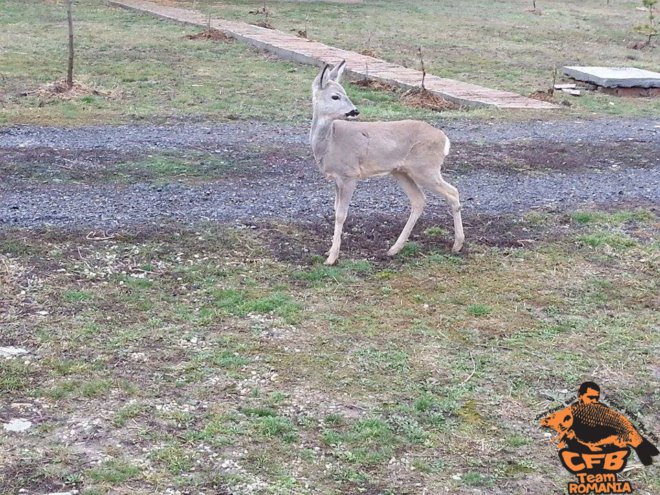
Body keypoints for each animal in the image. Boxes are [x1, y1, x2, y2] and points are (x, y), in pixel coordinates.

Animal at [310, 60, 464, 266]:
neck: (330, 143)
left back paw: (457, 245)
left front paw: (332, 257)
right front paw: (329, 251)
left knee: (452, 192)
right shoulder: (336, 178)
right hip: (402, 171)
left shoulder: (350, 174)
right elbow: (335, 209)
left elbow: (341, 214)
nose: (355, 111)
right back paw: (394, 249)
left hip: (425, 168)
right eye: (335, 96)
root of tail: (444, 139)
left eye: (344, 92)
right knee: (419, 200)